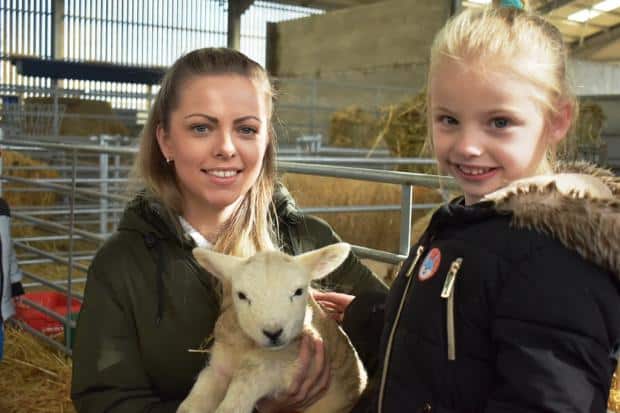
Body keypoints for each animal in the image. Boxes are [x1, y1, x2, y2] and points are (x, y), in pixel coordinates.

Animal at [177, 241, 366, 412]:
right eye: (241, 295)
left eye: (298, 291)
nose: (273, 333)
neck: (249, 345)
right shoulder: (219, 366)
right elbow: (196, 398)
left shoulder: (292, 361)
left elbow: (250, 373)